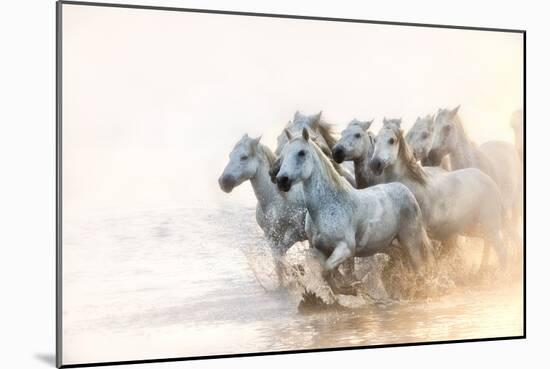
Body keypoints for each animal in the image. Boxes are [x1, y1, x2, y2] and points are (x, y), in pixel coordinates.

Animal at [218, 135, 308, 282]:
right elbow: (278, 262)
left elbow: (280, 257)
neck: (277, 200)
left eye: (244, 157)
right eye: (230, 155)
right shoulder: (271, 236)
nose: (224, 182)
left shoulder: (295, 234)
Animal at [274, 126, 438, 294]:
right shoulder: (320, 249)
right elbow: (325, 273)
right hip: (389, 245)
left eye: (301, 152)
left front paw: (351, 287)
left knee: (420, 268)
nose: (281, 180)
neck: (326, 207)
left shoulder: (345, 248)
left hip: (411, 241)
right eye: (283, 154)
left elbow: (327, 270)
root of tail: (404, 189)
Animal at [370, 119, 508, 268]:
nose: (375, 164)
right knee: (488, 243)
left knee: (501, 251)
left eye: (392, 140)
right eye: (375, 140)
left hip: (490, 226)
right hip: (473, 229)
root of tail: (491, 183)